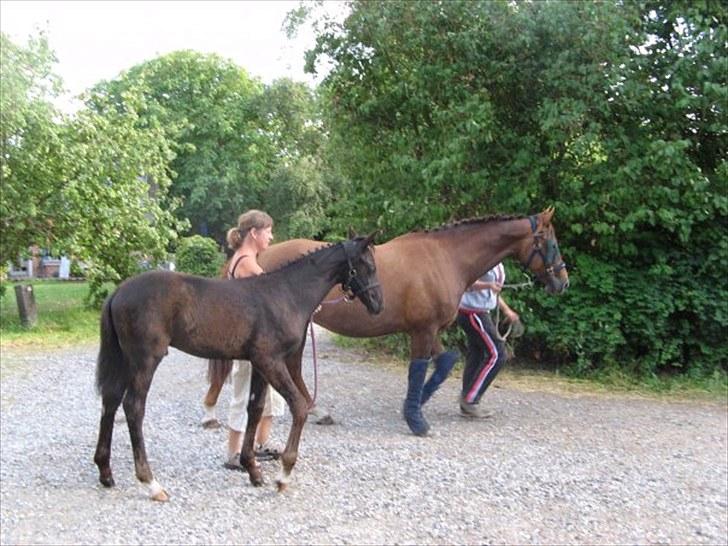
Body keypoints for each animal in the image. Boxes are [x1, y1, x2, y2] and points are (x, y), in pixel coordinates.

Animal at [91, 234, 382, 498]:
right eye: (368, 265)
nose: (378, 303)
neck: (286, 295)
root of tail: (117, 292)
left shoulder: (259, 364)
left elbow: (254, 409)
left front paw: (252, 470)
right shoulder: (271, 361)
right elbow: (299, 406)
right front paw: (283, 475)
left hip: (124, 360)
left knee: (110, 401)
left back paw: (105, 472)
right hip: (145, 360)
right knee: (133, 407)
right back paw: (151, 483)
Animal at [203, 206, 568, 436]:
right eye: (550, 242)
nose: (562, 282)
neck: (445, 257)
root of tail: (263, 254)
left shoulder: (430, 330)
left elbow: (445, 362)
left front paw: (419, 401)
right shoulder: (422, 331)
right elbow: (423, 368)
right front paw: (416, 419)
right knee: (291, 369)